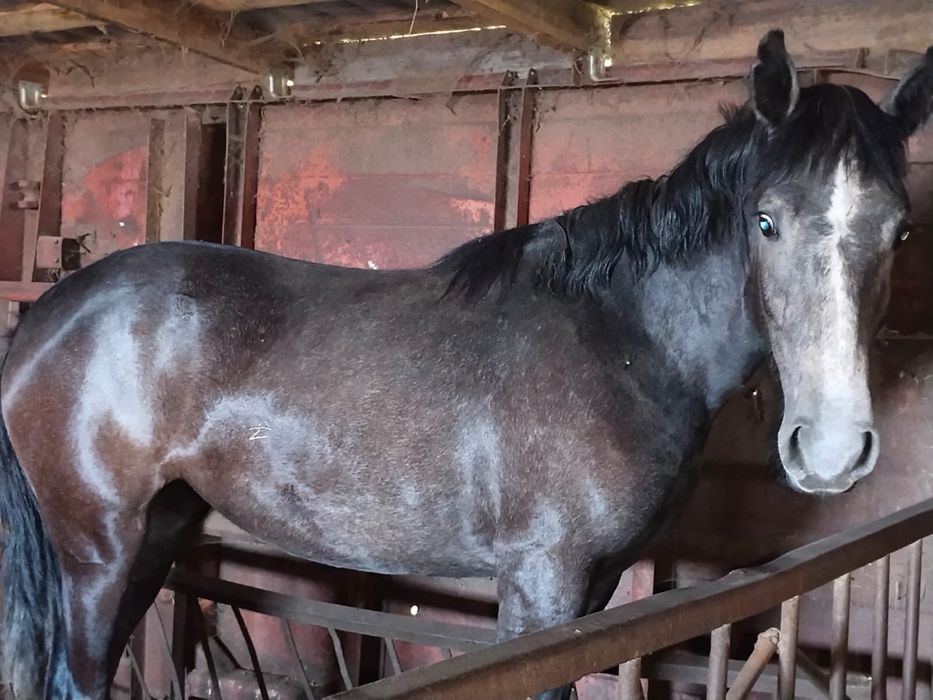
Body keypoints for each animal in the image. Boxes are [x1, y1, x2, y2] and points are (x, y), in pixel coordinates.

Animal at [1, 30, 931, 699]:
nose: (830, 450)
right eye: (765, 220)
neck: (621, 339)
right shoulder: (540, 586)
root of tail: (53, 310)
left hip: (156, 532)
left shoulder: (593, 590)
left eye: (899, 231)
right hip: (96, 549)